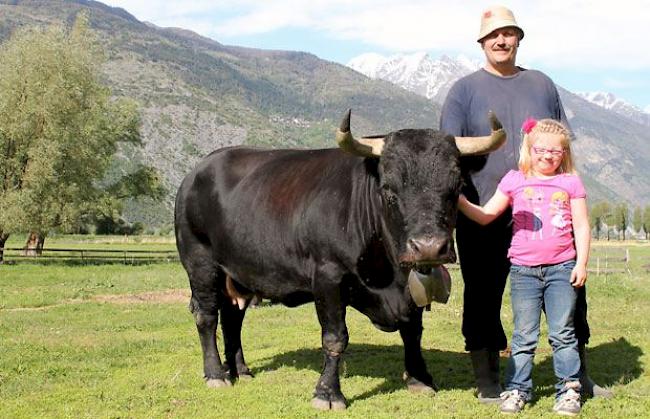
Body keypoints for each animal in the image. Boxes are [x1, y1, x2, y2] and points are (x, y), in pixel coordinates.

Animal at [175, 109, 504, 410]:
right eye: (389, 190)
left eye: (456, 187)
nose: (428, 247)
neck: (389, 277)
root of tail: (196, 172)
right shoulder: (327, 278)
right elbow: (335, 337)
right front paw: (328, 393)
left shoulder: (411, 287)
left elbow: (413, 331)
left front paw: (419, 378)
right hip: (200, 263)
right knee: (207, 317)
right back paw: (216, 374)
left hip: (238, 273)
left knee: (233, 318)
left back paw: (240, 370)